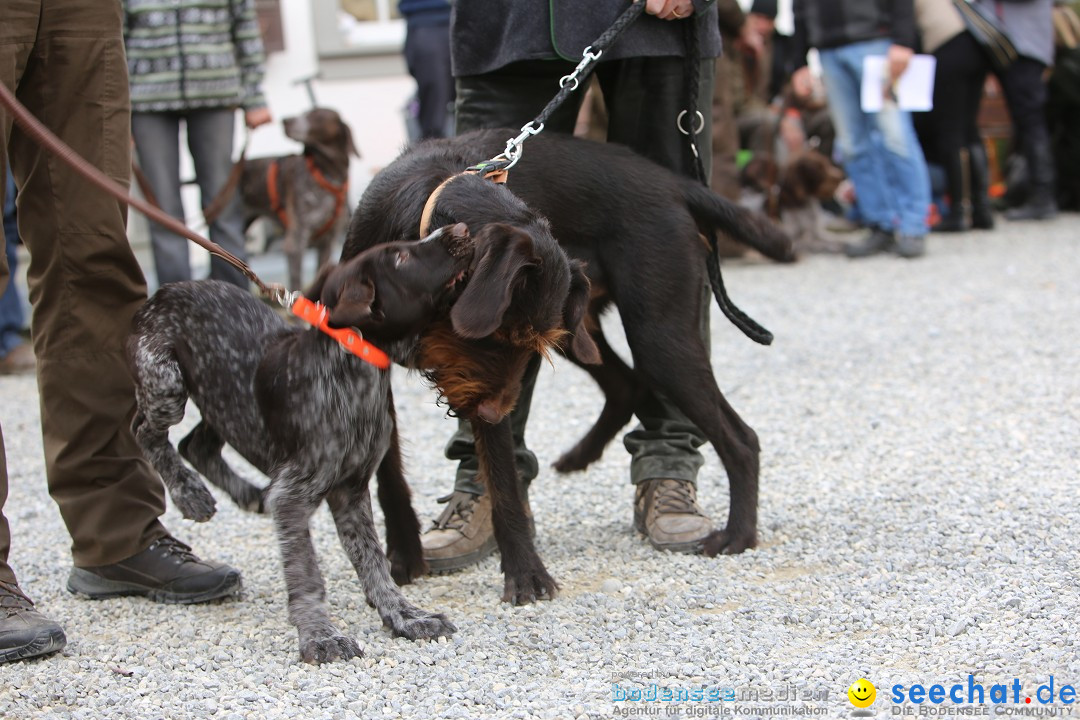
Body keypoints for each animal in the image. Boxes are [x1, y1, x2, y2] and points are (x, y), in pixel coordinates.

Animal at [124, 225, 470, 664]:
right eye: (400, 259)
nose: (459, 229)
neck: (352, 374)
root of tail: (164, 290)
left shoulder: (351, 493)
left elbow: (374, 563)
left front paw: (405, 616)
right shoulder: (294, 497)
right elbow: (307, 572)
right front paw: (320, 636)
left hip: (225, 397)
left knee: (195, 444)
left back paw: (247, 493)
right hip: (166, 383)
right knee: (145, 431)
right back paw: (189, 493)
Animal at [240, 106, 358, 289]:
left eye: (316, 115)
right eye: (306, 112)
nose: (285, 121)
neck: (327, 174)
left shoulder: (326, 242)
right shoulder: (296, 242)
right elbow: (297, 282)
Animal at [341, 127, 790, 604]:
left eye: (525, 344)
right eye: (499, 335)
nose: (491, 412)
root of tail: (672, 182)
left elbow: (503, 481)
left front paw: (526, 572)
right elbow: (389, 474)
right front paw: (405, 554)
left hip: (657, 340)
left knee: (740, 439)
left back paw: (739, 535)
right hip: (582, 332)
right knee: (627, 386)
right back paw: (580, 455)